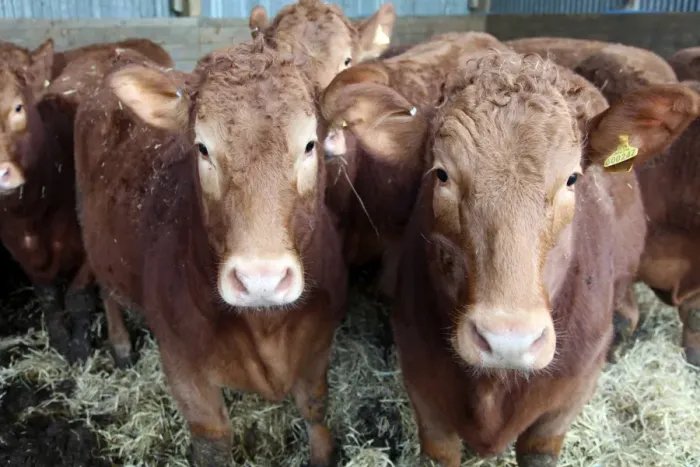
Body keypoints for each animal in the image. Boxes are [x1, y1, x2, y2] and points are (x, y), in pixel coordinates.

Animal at [0, 38, 172, 365]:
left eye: (18, 106)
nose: (1, 172)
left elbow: (78, 297)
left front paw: (79, 349)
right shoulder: (21, 252)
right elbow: (49, 298)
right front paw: (60, 342)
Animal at [74, 41, 346, 467]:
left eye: (309, 144)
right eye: (202, 148)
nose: (260, 280)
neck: (267, 329)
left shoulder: (318, 346)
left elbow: (315, 408)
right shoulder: (184, 369)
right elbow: (212, 443)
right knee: (107, 288)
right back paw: (120, 345)